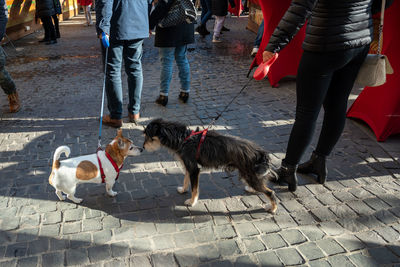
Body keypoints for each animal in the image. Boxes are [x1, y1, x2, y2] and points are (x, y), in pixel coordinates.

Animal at [144, 119, 278, 214]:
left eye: (148, 137)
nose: (143, 147)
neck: (184, 139)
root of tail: (260, 152)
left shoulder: (194, 169)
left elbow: (194, 189)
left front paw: (192, 202)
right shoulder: (189, 166)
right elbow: (186, 180)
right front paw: (183, 190)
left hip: (250, 175)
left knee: (270, 192)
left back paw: (273, 208)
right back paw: (252, 189)